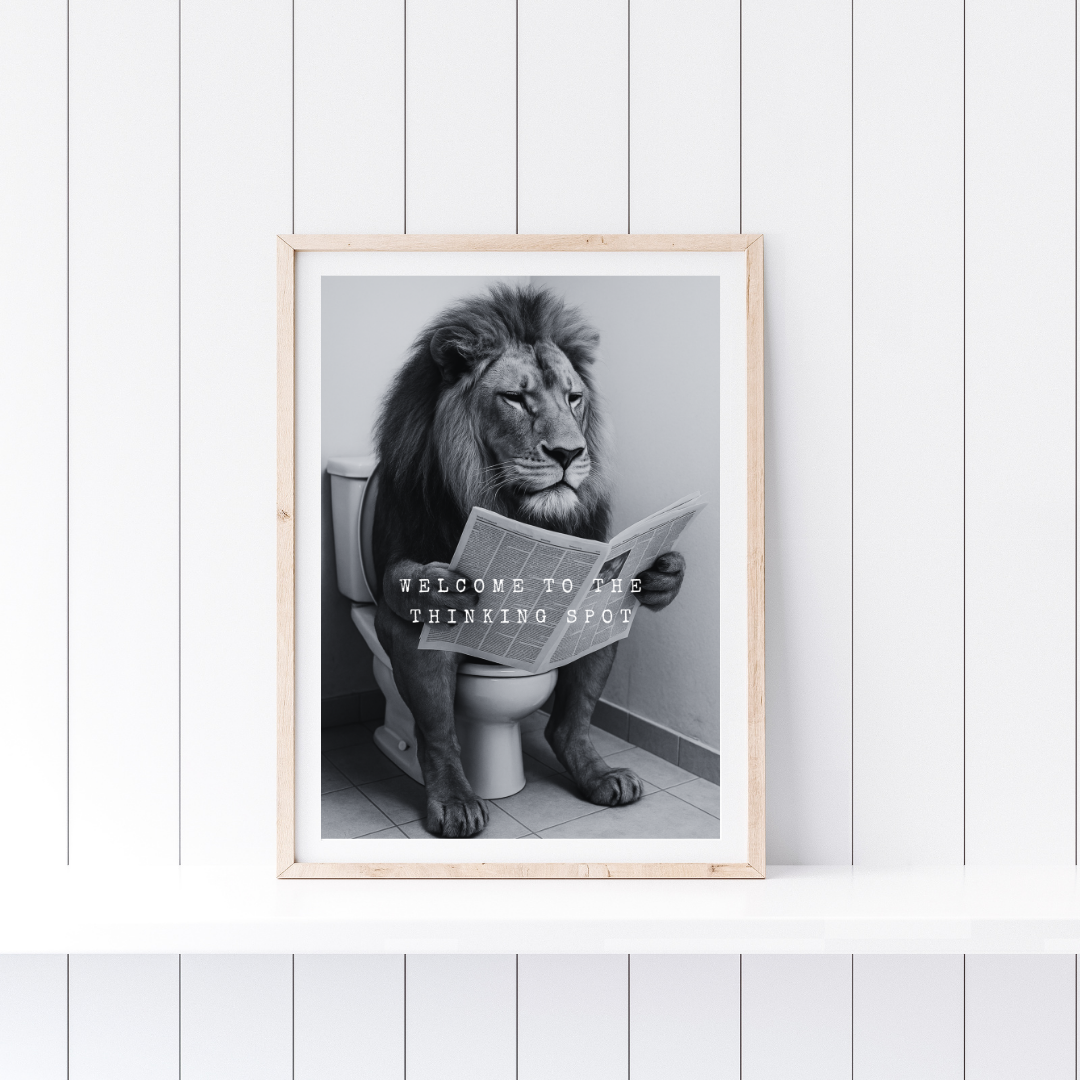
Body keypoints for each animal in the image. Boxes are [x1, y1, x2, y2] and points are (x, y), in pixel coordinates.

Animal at [372, 284, 686, 837]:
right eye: (515, 398)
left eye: (574, 398)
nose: (570, 453)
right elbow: (403, 581)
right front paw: (441, 586)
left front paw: (663, 573)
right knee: (437, 731)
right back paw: (455, 801)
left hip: (589, 625)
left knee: (571, 718)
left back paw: (600, 775)